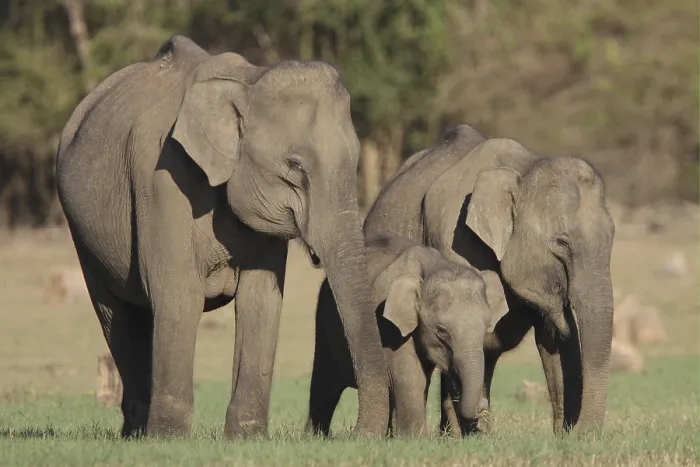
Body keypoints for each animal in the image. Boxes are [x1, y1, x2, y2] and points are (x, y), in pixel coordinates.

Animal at [55, 35, 389, 439]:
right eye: (295, 166)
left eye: (355, 160)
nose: (353, 434)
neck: (248, 82)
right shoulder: (162, 181)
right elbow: (179, 294)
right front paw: (169, 439)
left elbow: (261, 299)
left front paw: (246, 438)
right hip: (81, 231)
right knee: (115, 313)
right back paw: (137, 431)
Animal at [306, 231, 492, 438]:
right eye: (441, 331)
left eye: (487, 327)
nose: (483, 406)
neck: (432, 266)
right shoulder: (388, 323)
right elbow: (410, 376)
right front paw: (414, 438)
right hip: (324, 326)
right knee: (325, 387)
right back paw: (315, 437)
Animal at [363, 124, 615, 435]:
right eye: (562, 242)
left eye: (612, 238)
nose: (583, 432)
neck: (522, 169)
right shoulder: (455, 239)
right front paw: (471, 434)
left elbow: (552, 341)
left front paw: (563, 436)